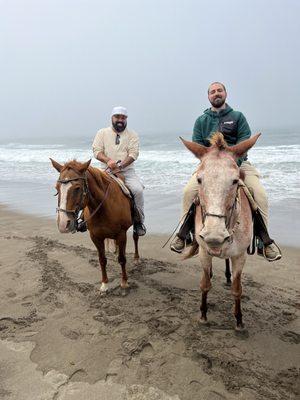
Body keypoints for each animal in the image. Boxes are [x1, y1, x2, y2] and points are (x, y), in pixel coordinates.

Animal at [50, 158, 139, 292]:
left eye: (77, 188)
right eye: (57, 188)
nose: (63, 223)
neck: (104, 207)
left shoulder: (121, 234)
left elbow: (122, 259)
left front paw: (124, 282)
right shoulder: (95, 237)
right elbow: (102, 260)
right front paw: (104, 284)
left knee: (135, 237)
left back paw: (137, 258)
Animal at [180, 133, 260, 330]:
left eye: (235, 180)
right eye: (199, 179)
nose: (214, 237)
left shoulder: (240, 256)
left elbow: (237, 289)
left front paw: (239, 320)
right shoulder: (203, 252)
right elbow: (205, 284)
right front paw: (203, 315)